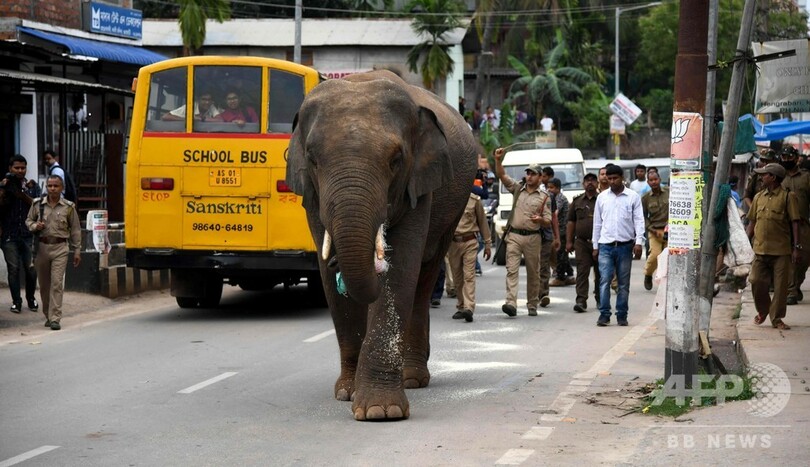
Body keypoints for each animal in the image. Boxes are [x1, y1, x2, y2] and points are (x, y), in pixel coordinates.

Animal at [284, 70, 476, 424]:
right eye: (313, 160)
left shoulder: (419, 184)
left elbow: (400, 270)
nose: (339, 266)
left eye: (395, 160)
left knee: (424, 276)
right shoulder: (312, 199)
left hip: (453, 206)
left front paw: (380, 411)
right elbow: (327, 274)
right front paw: (347, 393)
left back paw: (412, 378)